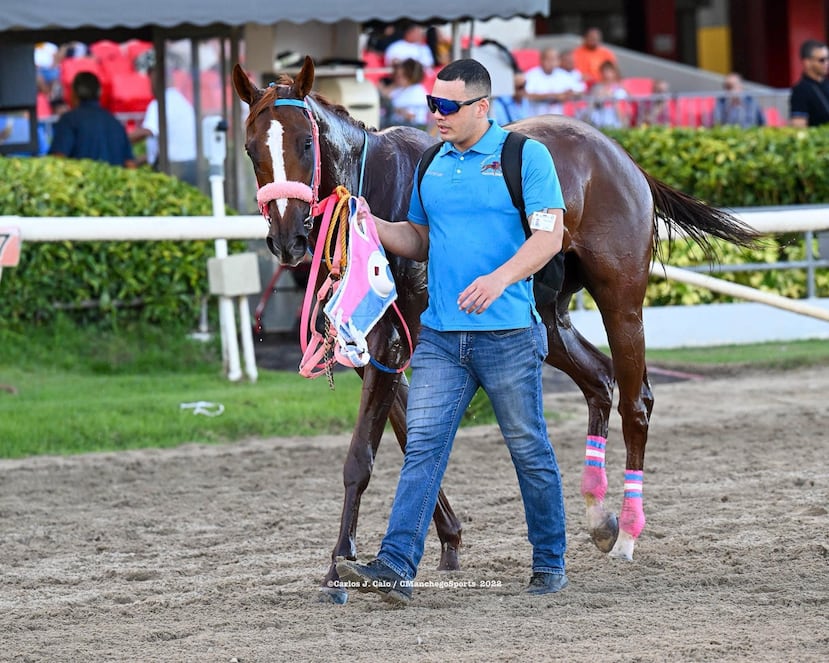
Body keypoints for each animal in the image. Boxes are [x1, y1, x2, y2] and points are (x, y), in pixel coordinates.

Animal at [232, 57, 759, 604]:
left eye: (304, 143)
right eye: (251, 148)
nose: (288, 238)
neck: (376, 185)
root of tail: (620, 156)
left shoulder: (390, 343)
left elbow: (362, 456)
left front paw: (338, 569)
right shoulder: (375, 352)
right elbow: (411, 437)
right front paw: (445, 539)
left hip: (622, 301)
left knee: (637, 401)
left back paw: (628, 532)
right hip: (546, 316)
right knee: (599, 380)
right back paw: (599, 515)